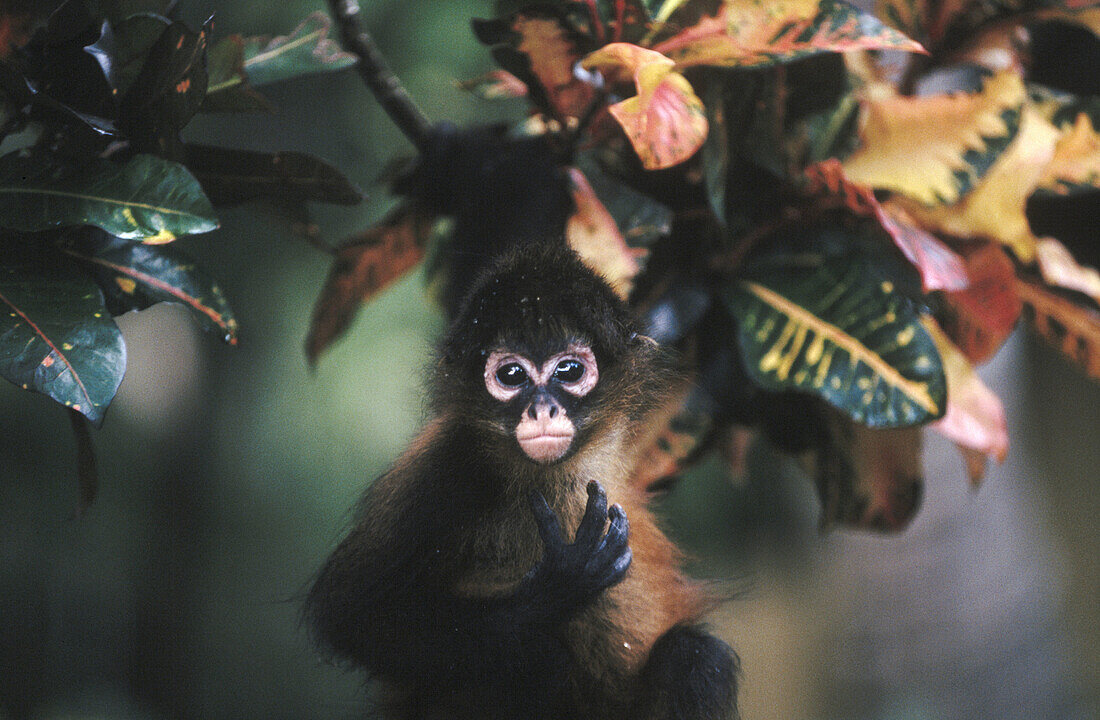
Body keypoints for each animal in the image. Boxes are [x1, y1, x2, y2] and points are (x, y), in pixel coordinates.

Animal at [305, 244, 743, 720]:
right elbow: (352, 618)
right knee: (538, 658)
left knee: (694, 655)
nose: (542, 408)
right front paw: (558, 588)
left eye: (568, 371)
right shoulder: (450, 467)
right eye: (511, 376)